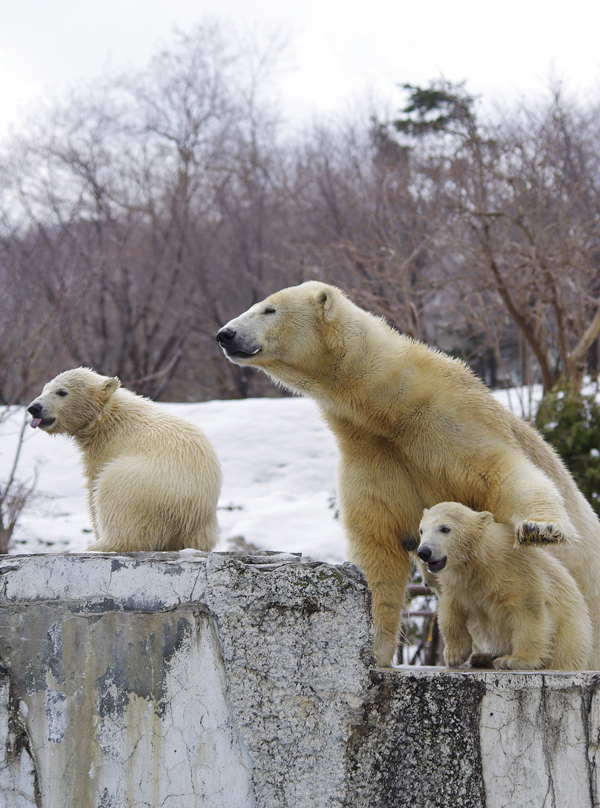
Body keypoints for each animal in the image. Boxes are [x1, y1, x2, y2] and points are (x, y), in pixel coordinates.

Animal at [218, 280, 600, 664]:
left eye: (269, 309)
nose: (225, 334)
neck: (389, 404)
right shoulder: (373, 454)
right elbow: (378, 546)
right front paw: (374, 650)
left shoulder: (453, 421)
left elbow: (506, 474)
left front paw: (540, 529)